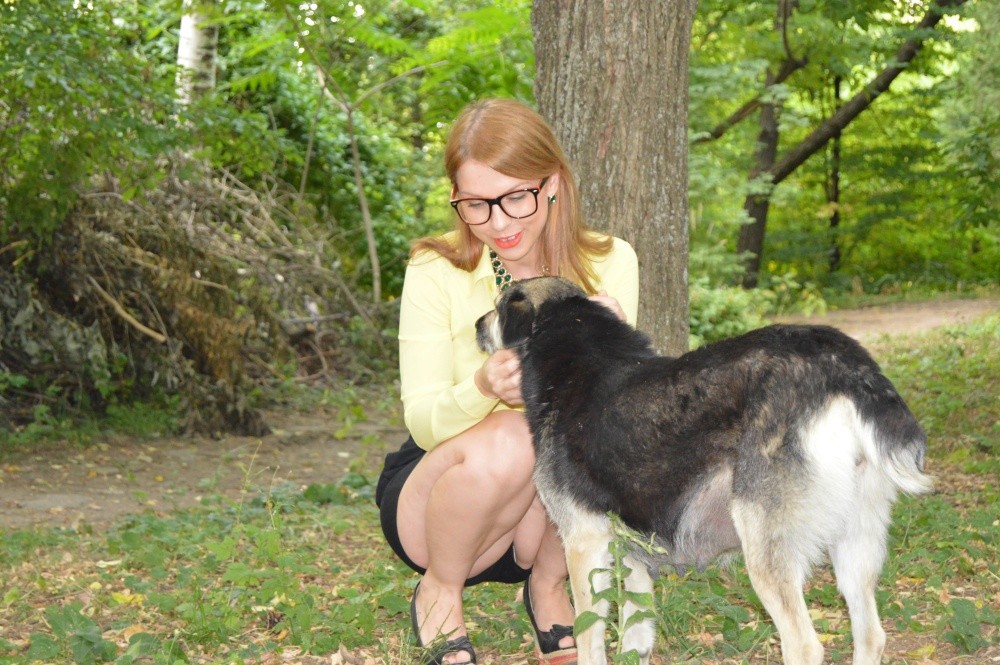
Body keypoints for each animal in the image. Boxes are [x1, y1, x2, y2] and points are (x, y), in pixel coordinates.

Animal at [475, 276, 932, 665]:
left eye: (498, 306)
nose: (476, 325)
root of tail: (844, 367)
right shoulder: (634, 559)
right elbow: (634, 640)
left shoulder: (583, 542)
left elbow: (590, 639)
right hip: (854, 545)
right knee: (870, 635)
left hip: (763, 546)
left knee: (804, 646)